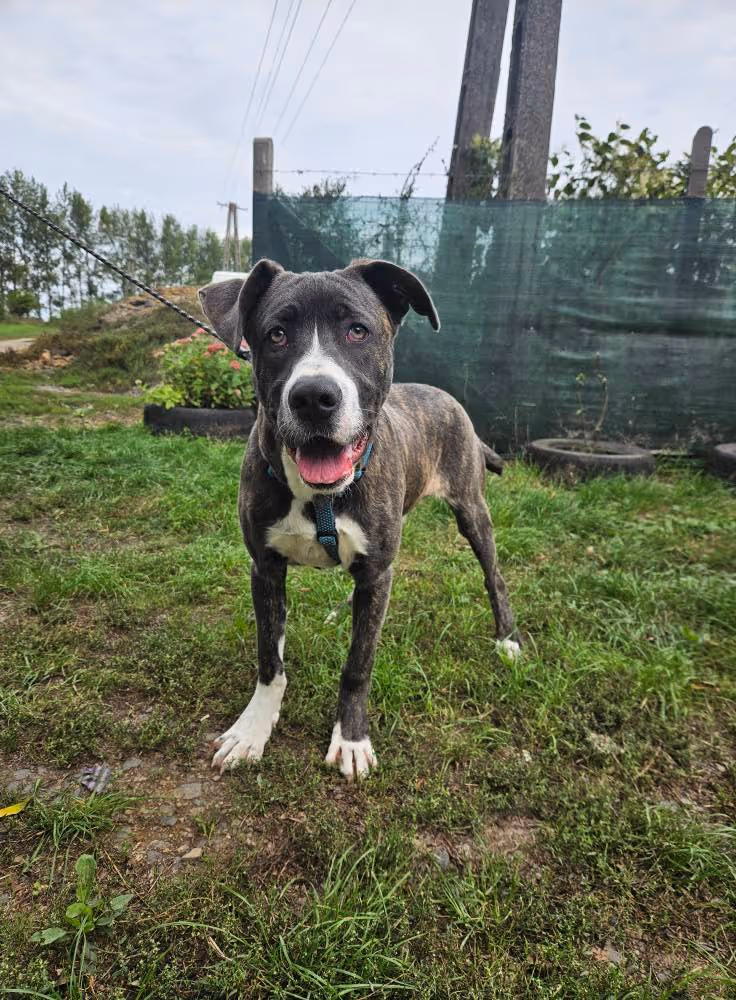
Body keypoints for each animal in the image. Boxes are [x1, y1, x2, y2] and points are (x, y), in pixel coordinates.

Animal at [198, 259, 520, 780]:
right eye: (276, 334)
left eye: (357, 330)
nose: (313, 397)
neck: (320, 498)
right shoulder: (265, 568)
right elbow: (270, 658)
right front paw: (253, 729)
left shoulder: (376, 573)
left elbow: (358, 665)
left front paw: (350, 739)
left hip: (473, 512)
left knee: (495, 577)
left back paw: (508, 640)